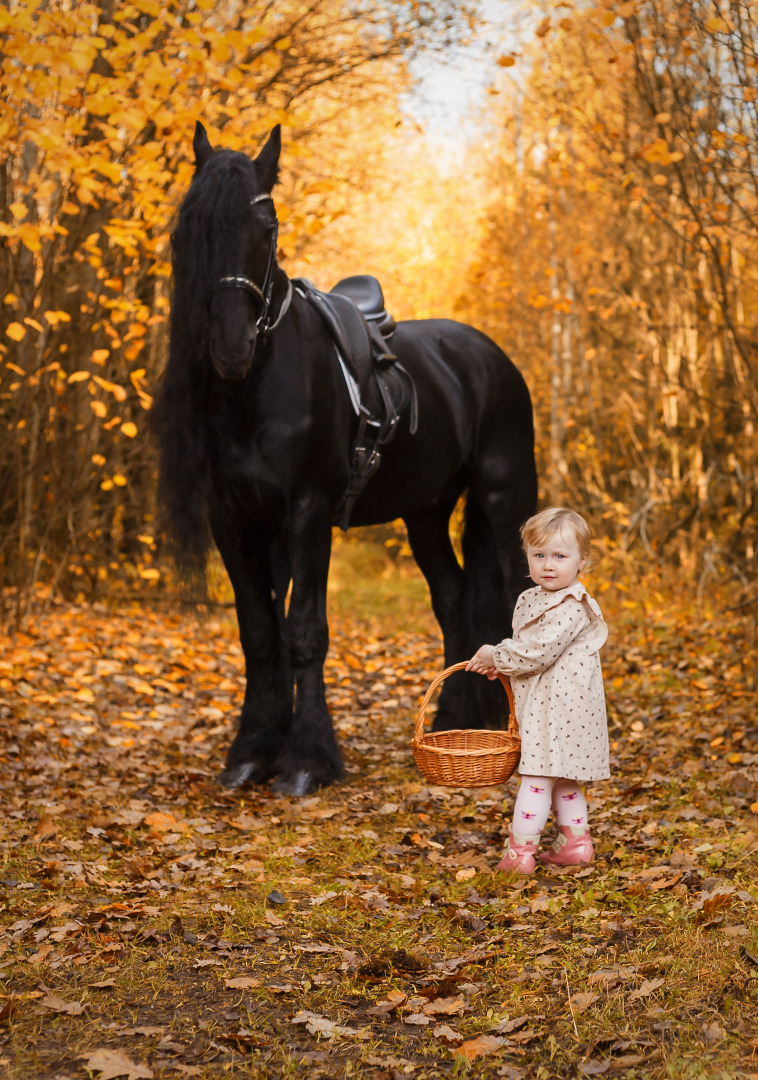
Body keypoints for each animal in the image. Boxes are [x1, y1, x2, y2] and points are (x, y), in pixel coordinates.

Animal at [151, 122, 537, 799]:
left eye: (267, 225)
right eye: (188, 227)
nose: (230, 346)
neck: (260, 389)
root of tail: (486, 354)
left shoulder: (308, 516)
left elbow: (305, 632)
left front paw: (307, 761)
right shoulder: (236, 523)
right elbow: (261, 634)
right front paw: (251, 753)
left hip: (505, 498)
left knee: (517, 596)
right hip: (426, 515)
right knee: (454, 598)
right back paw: (455, 719)